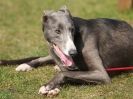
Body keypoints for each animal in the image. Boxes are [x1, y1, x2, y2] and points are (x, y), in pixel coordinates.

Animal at [0, 6, 133, 96]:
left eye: (72, 30)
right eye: (57, 31)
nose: (73, 52)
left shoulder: (101, 74)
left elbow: (67, 74)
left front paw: (49, 86)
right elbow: (69, 73)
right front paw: (53, 87)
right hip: (52, 52)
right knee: (43, 58)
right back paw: (25, 65)